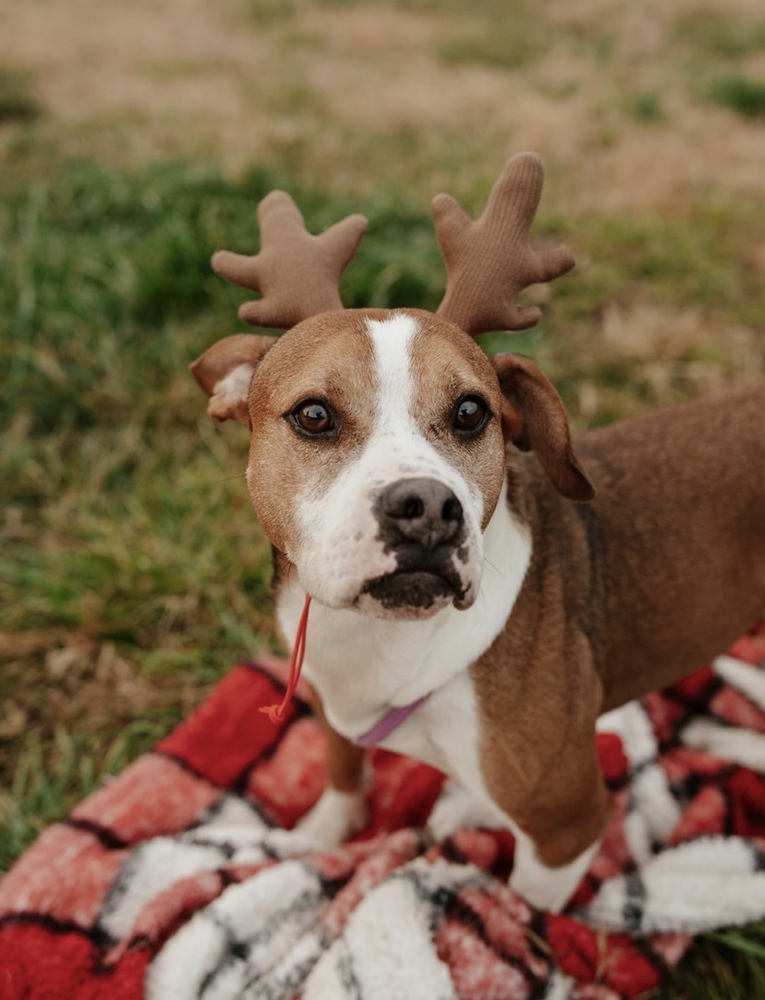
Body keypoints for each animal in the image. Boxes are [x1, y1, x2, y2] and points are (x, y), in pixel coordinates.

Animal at [190, 152, 764, 912]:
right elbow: (343, 778)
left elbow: (526, 915)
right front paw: (315, 840)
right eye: (313, 415)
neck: (384, 641)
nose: (426, 508)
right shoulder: (326, 706)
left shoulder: (566, 827)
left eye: (470, 412)